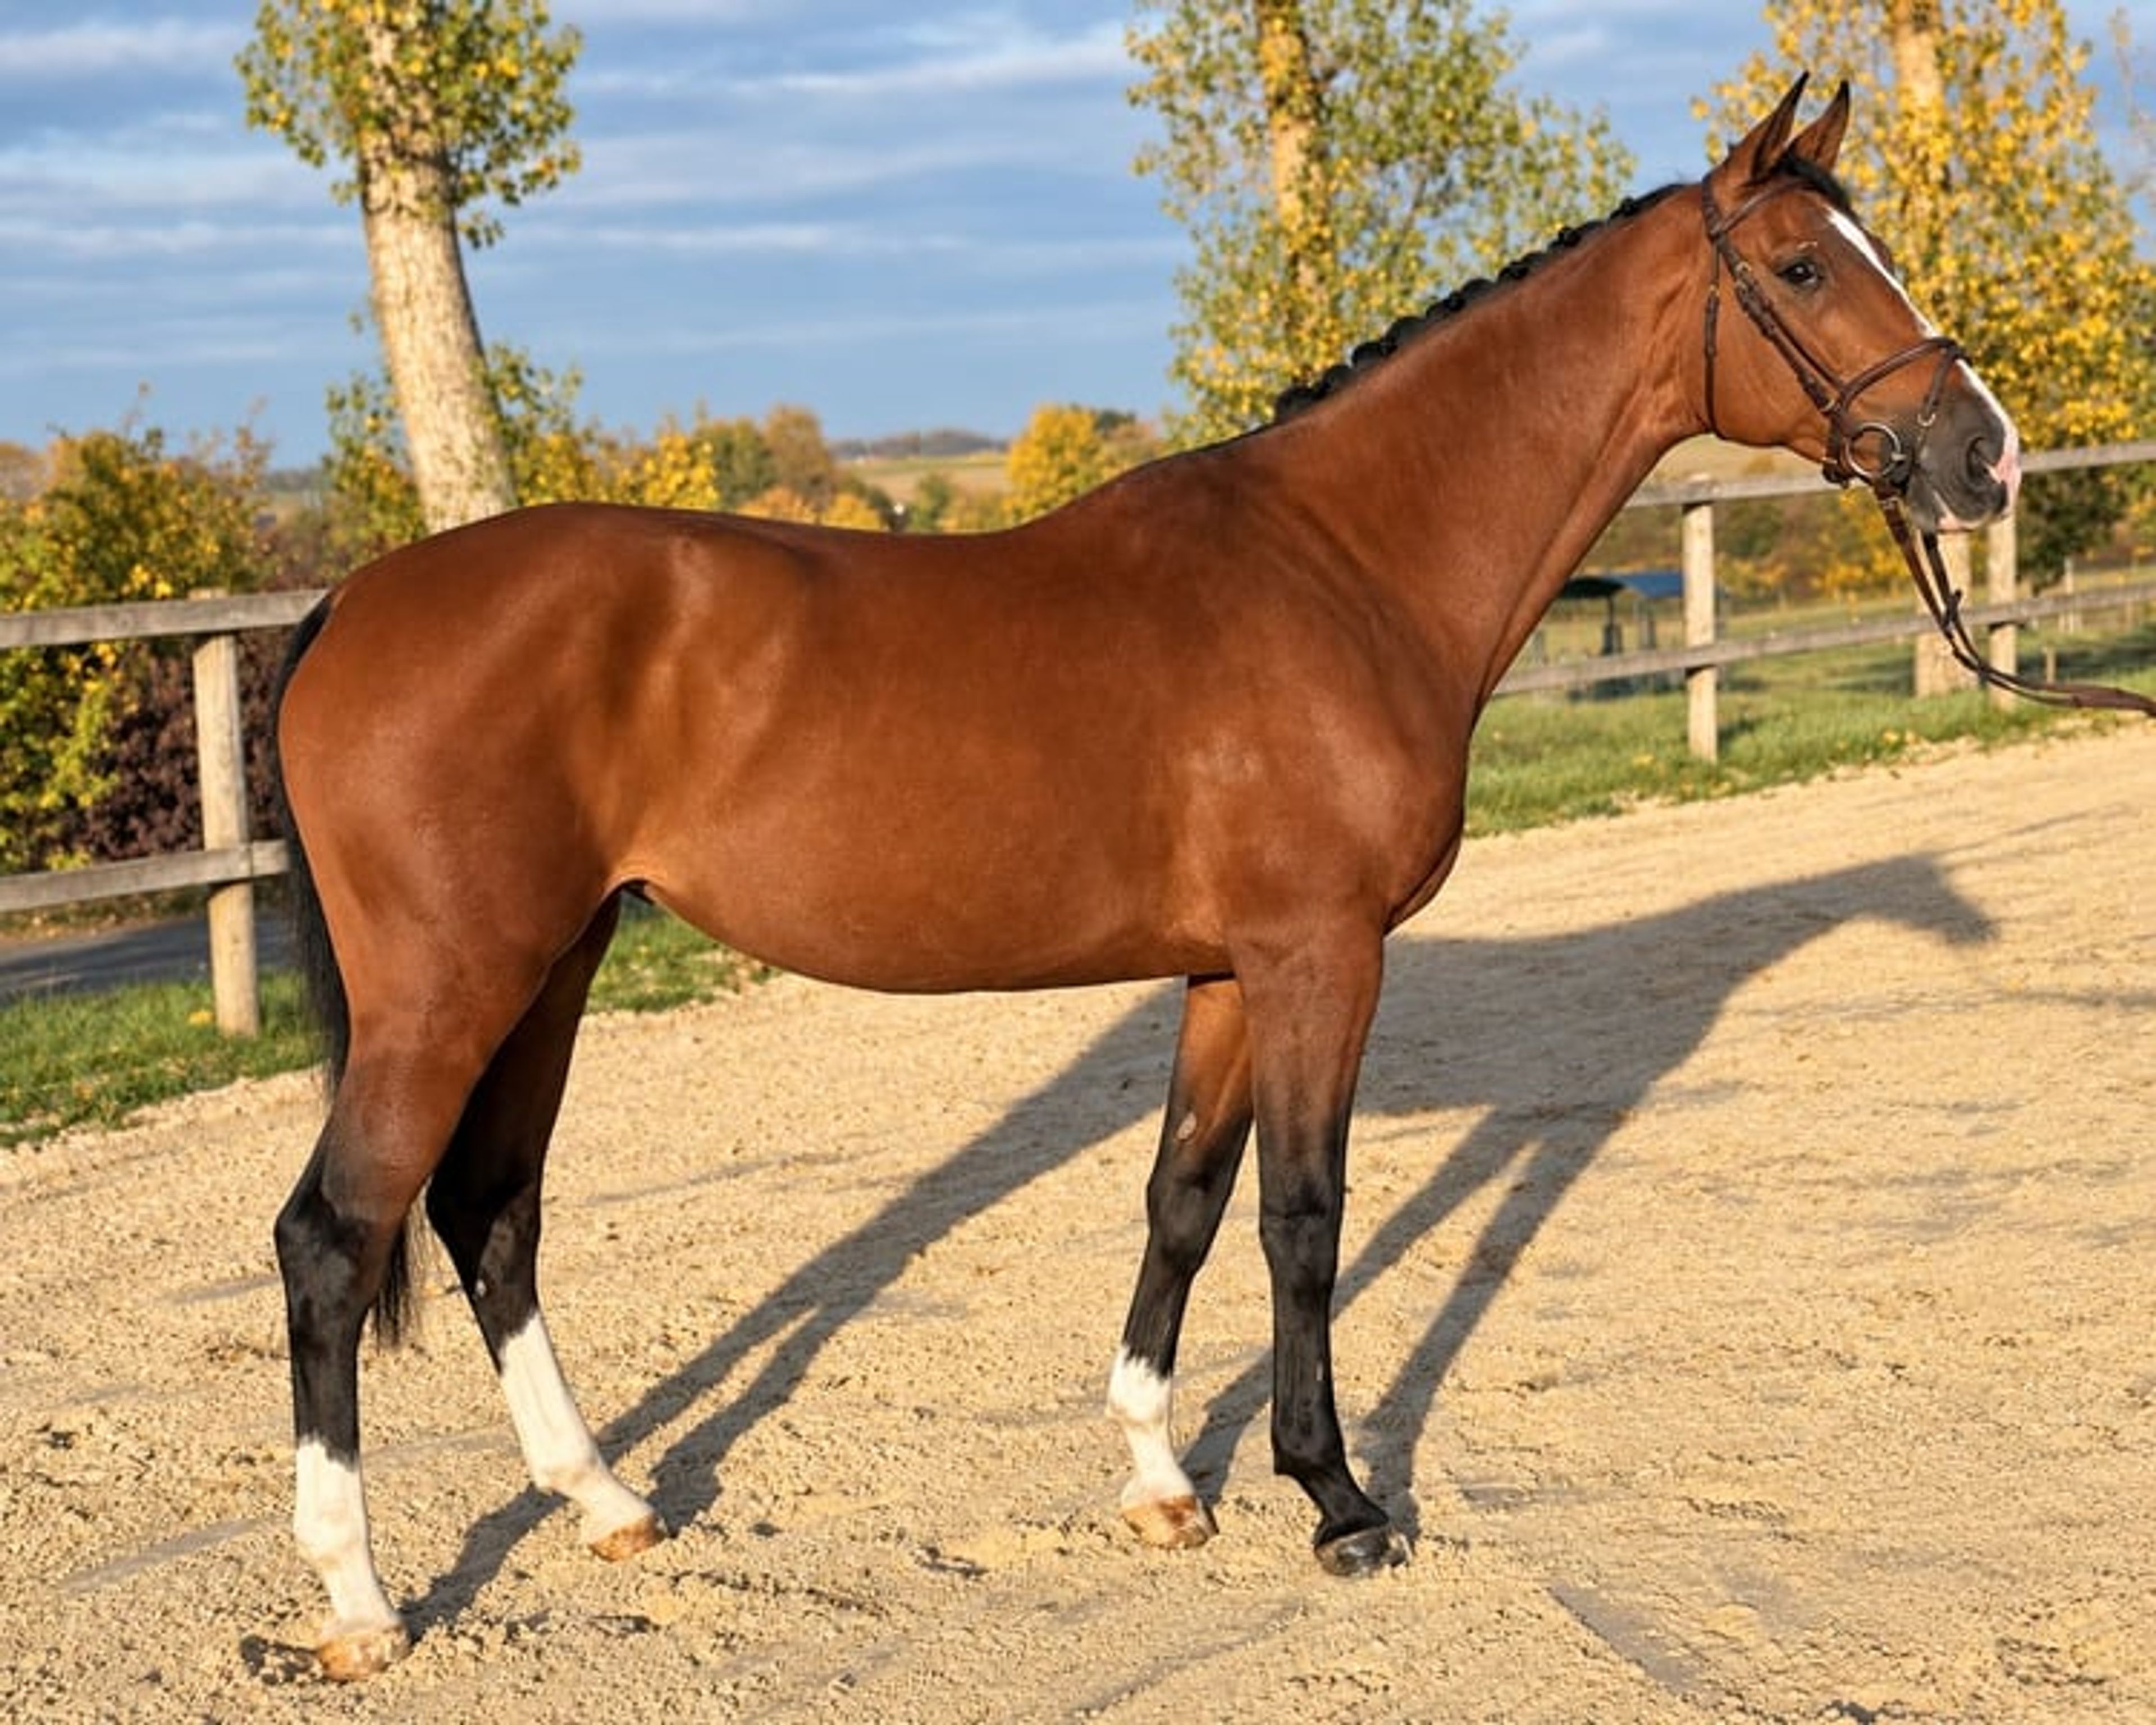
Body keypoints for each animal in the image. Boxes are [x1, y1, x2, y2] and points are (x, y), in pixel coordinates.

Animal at [269, 78, 2019, 1679]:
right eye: (1800, 264)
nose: (1980, 455)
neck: (1346, 565)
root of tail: (350, 604)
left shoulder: (1230, 970)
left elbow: (1183, 1197)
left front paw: (1162, 1477)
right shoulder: (1323, 956)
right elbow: (1304, 1214)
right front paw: (1339, 1501)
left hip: (555, 965)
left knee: (490, 1212)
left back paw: (607, 1502)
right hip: (454, 986)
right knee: (335, 1239)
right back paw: (359, 1597)